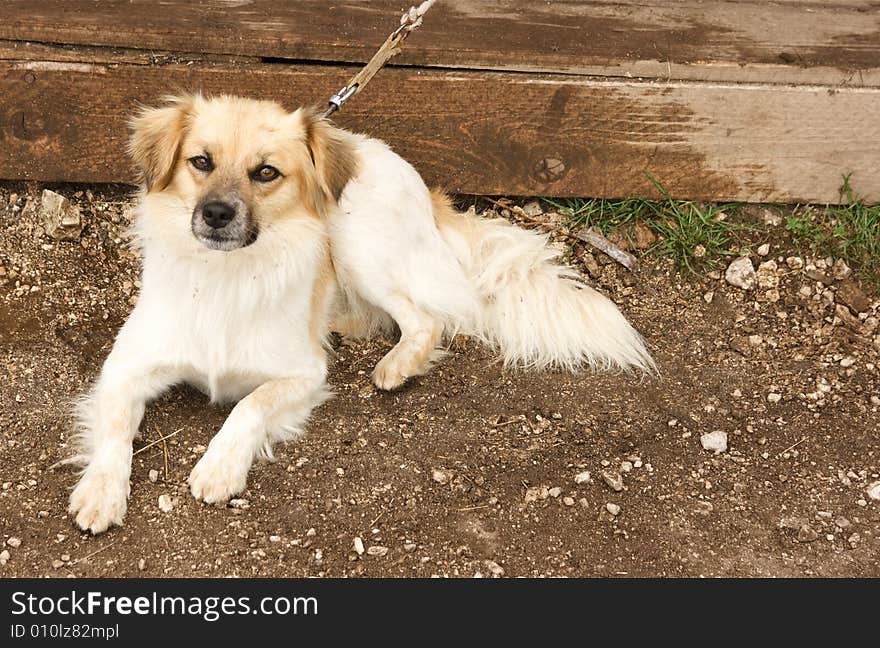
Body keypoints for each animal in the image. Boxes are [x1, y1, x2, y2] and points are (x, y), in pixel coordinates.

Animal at [67, 93, 652, 536]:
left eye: (266, 172)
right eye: (201, 162)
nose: (215, 213)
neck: (225, 277)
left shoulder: (302, 375)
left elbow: (249, 407)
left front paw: (219, 466)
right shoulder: (125, 366)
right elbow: (115, 430)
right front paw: (100, 492)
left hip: (353, 240)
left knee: (424, 318)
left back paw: (398, 364)